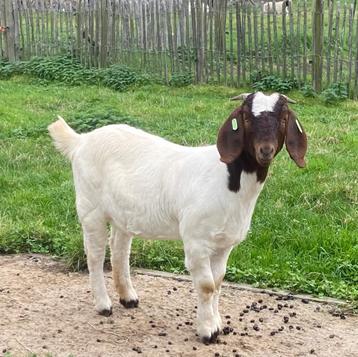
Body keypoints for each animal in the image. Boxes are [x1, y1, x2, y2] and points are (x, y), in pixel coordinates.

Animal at [48, 91, 308, 342]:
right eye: (245, 116)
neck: (228, 179)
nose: (265, 150)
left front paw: (217, 323)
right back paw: (103, 305)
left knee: (119, 250)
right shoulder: (196, 241)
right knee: (94, 254)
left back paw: (128, 297)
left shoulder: (224, 243)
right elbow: (207, 286)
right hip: (90, 207)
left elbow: (218, 282)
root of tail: (81, 141)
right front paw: (208, 331)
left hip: (124, 213)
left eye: (283, 118)